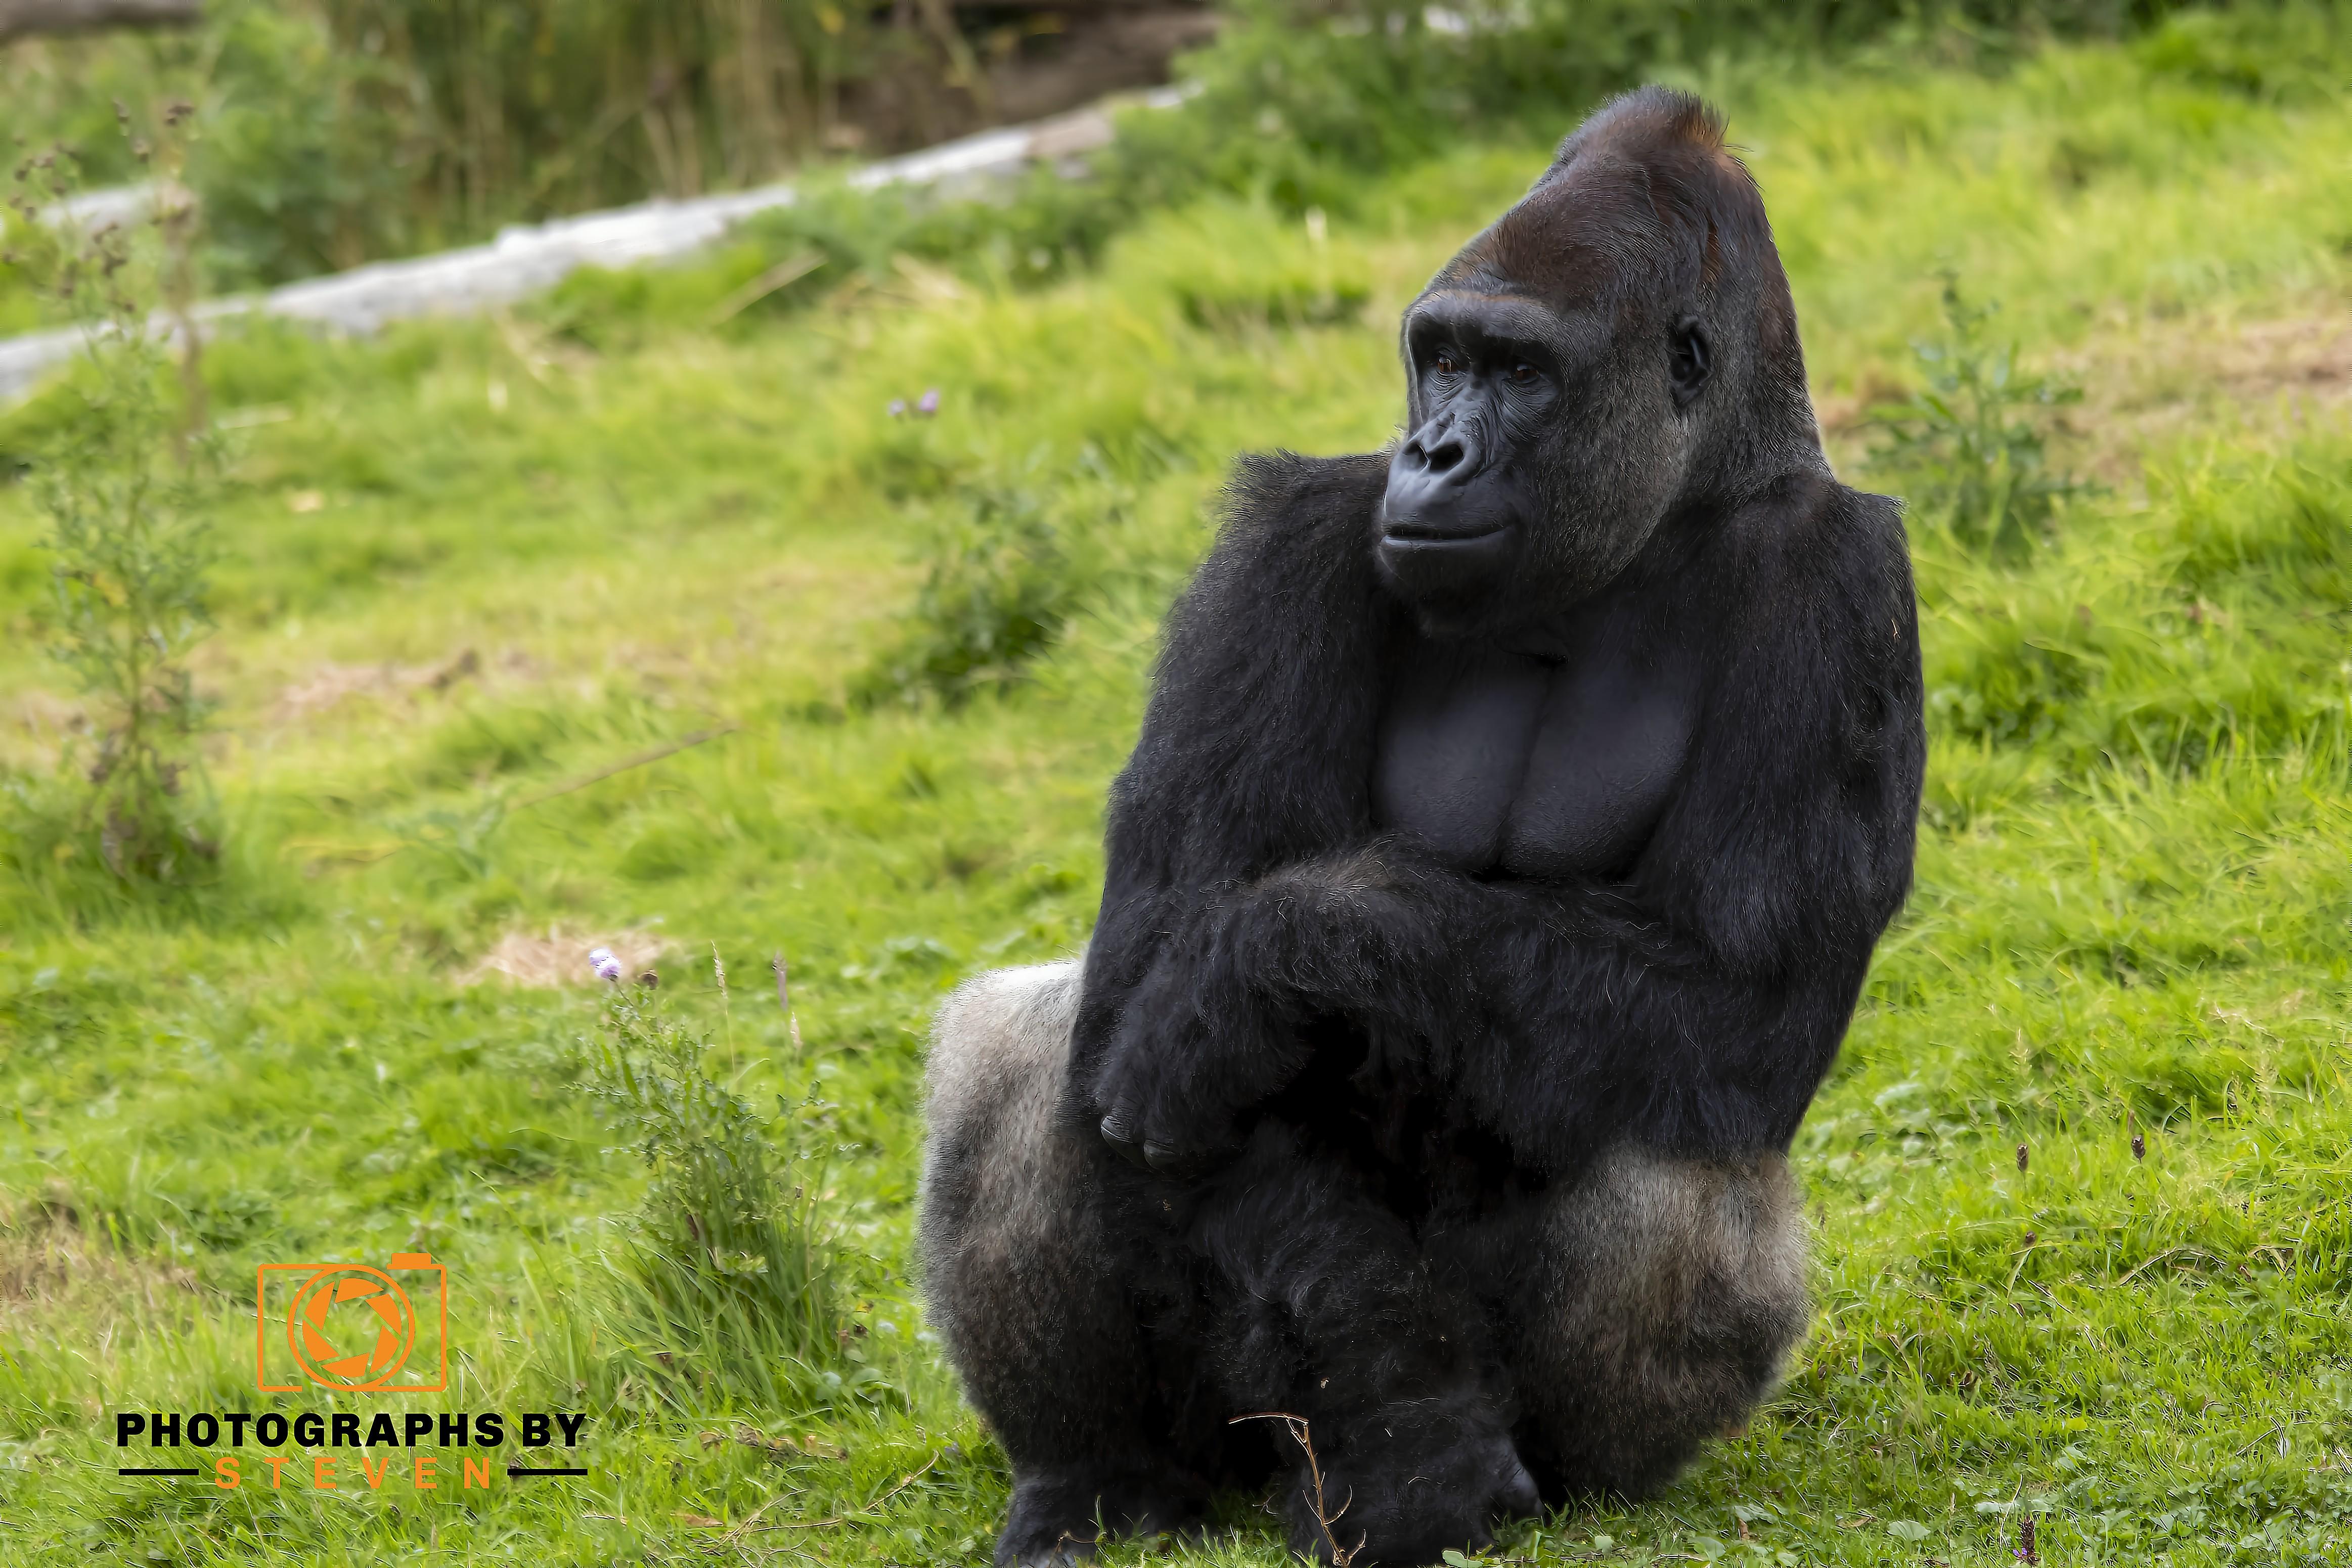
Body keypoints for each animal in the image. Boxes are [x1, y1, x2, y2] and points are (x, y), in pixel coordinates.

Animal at [921, 85, 1924, 1567]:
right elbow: (1152, 973)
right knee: (1031, 1047)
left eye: (1515, 370)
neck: (1680, 504)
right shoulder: (1288, 536)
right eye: (1438, 358)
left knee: (1668, 1114)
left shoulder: (1846, 590)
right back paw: (1096, 1480)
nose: (1434, 450)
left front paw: (1267, 963)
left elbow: (1736, 1001)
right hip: (1240, 1438)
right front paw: (1409, 1438)